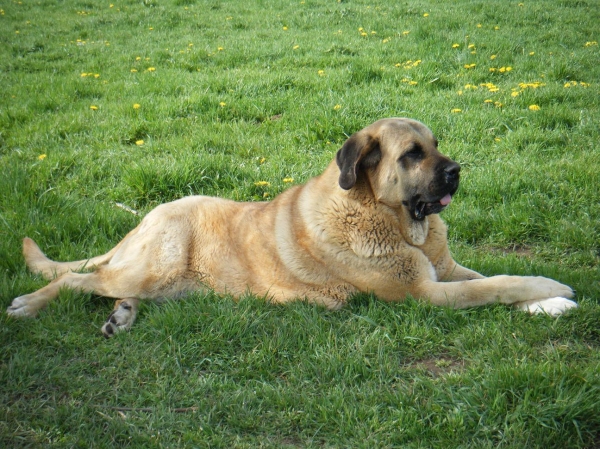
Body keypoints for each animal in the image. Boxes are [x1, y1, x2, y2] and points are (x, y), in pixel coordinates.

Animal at [5, 117, 576, 334]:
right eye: (413, 154)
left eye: (435, 145)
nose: (457, 171)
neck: (388, 217)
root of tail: (146, 217)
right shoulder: (425, 293)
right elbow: (500, 285)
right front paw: (552, 287)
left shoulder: (447, 272)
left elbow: (493, 281)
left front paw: (549, 303)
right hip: (150, 267)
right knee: (75, 279)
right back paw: (30, 305)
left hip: (171, 283)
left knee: (111, 288)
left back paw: (122, 315)